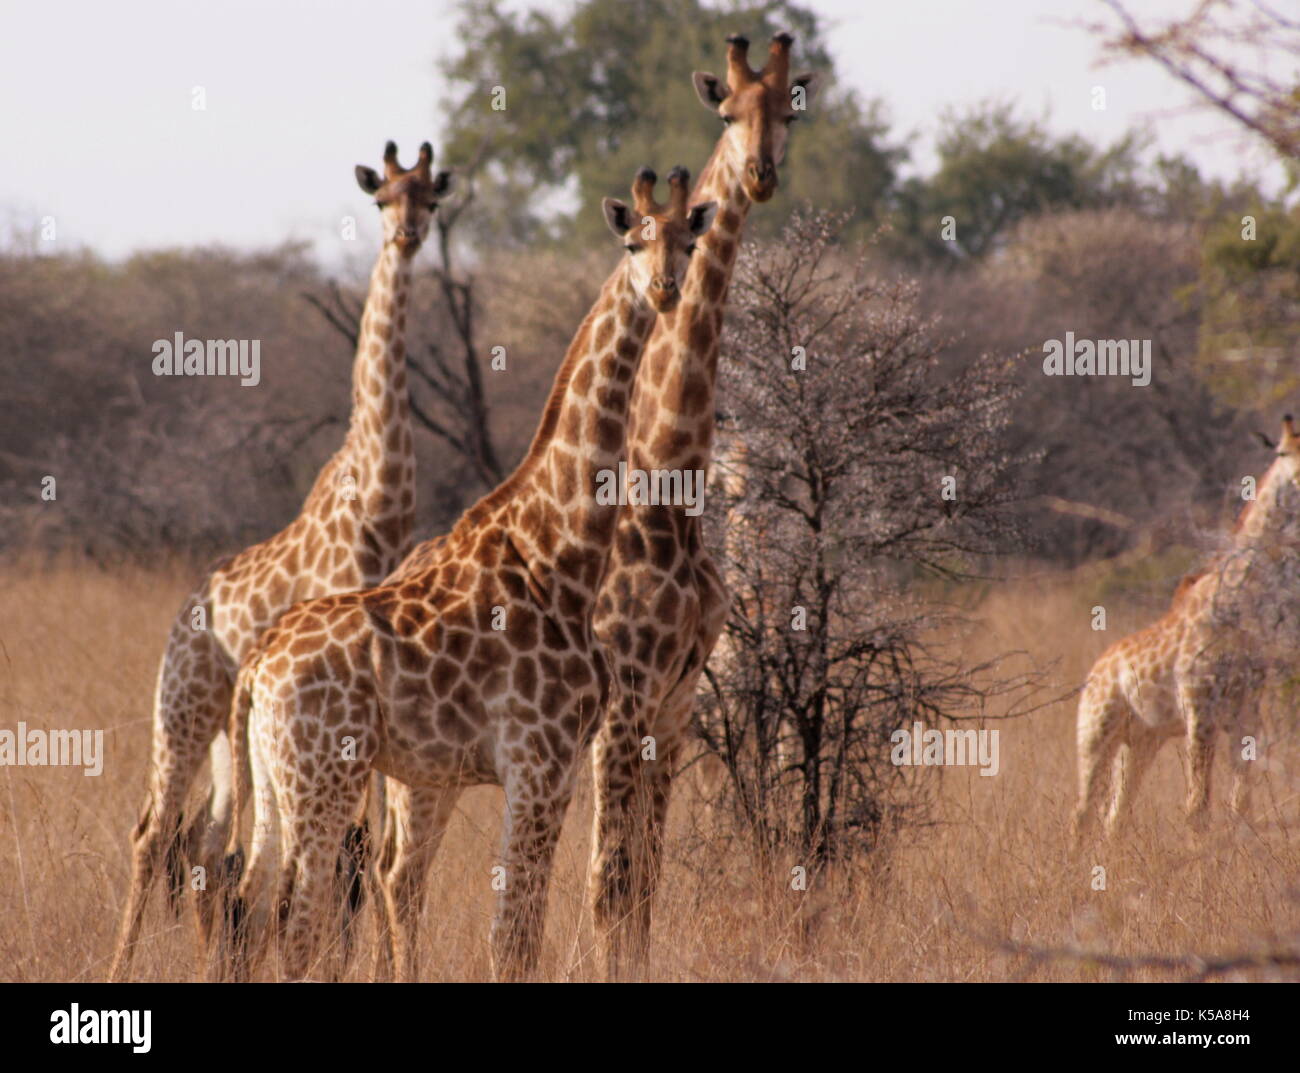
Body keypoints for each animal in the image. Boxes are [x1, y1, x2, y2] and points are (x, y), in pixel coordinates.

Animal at [104, 142, 447, 978]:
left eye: (431, 196)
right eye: (382, 197)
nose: (408, 234)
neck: (378, 504)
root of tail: (187, 606)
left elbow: (366, 853)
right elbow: (350, 852)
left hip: (237, 730)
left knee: (205, 840)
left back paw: (214, 956)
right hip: (186, 701)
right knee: (154, 831)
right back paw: (123, 965)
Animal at [215, 167, 722, 978]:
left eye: (688, 240)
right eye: (633, 241)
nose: (666, 287)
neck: (563, 554)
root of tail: (258, 663)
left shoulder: (556, 763)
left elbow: (522, 930)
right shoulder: (539, 760)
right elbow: (514, 938)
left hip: (272, 777)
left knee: (248, 903)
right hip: (324, 776)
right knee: (297, 922)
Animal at [1071, 413, 1300, 842]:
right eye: (1281, 452)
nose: (1297, 479)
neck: (1234, 604)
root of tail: (1095, 671)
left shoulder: (1246, 708)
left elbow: (1240, 805)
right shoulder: (1199, 706)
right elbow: (1197, 808)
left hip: (1141, 741)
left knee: (1115, 815)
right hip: (1096, 734)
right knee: (1083, 814)